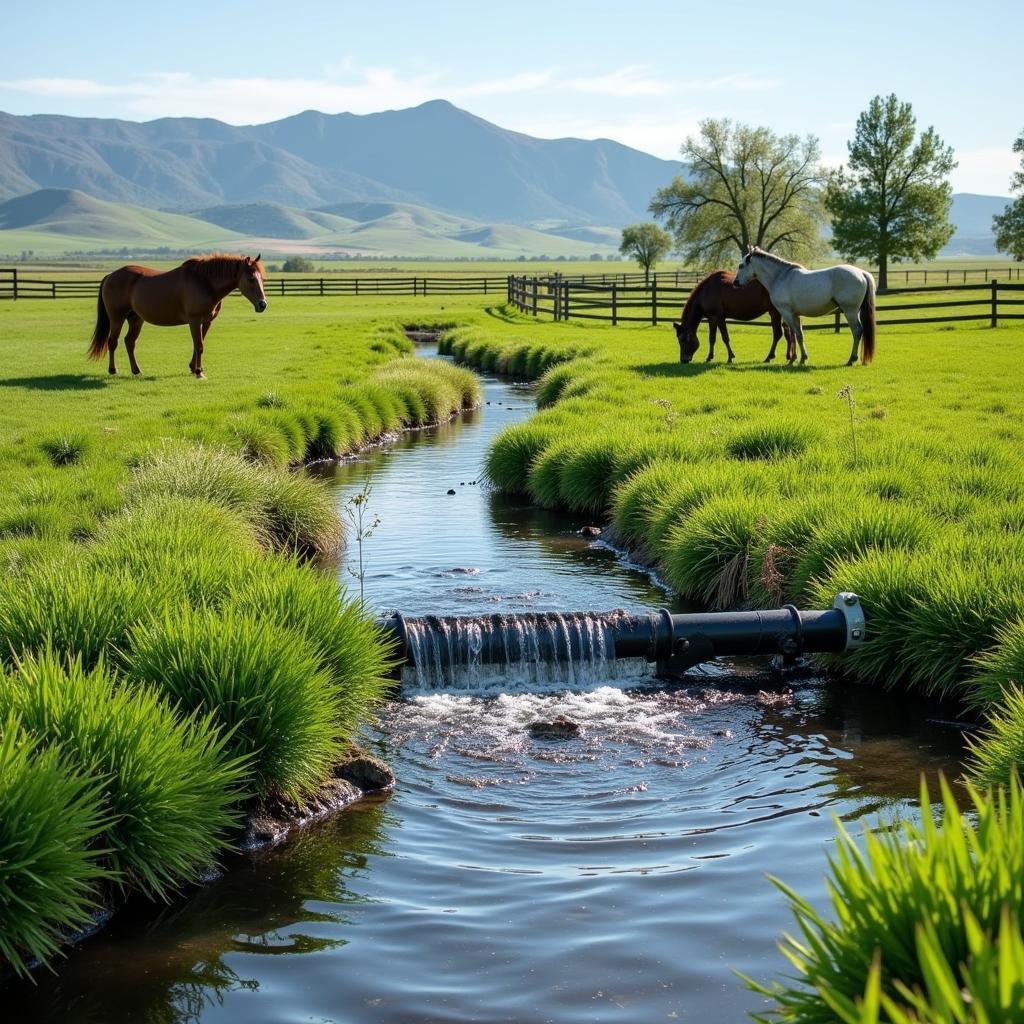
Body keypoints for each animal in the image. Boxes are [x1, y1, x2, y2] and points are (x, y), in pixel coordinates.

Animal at [87, 253, 268, 378]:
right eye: (251, 278)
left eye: (262, 279)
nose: (263, 304)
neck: (204, 282)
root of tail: (110, 275)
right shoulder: (195, 320)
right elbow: (199, 345)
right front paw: (199, 372)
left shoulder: (206, 322)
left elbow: (198, 345)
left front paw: (194, 368)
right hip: (117, 318)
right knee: (113, 342)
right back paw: (113, 370)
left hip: (136, 319)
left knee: (129, 342)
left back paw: (136, 370)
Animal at [733, 246, 876, 366]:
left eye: (741, 265)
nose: (735, 283)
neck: (780, 277)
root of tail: (862, 273)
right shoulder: (794, 314)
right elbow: (797, 335)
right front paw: (800, 358)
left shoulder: (787, 313)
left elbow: (795, 335)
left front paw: (796, 360)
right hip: (855, 311)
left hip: (850, 311)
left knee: (857, 331)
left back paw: (851, 359)